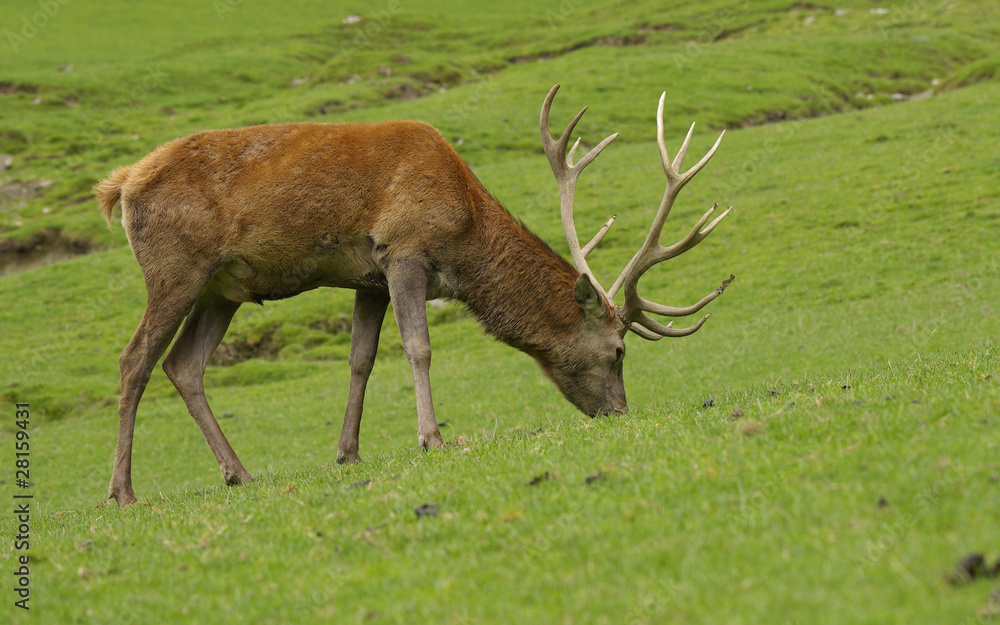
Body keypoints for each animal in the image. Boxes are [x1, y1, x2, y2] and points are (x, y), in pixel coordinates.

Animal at [94, 84, 734, 507]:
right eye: (618, 351)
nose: (620, 412)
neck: (466, 227)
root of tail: (119, 187)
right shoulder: (404, 249)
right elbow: (417, 349)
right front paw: (433, 438)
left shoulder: (368, 278)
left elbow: (361, 360)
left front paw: (348, 453)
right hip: (176, 269)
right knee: (134, 361)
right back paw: (123, 492)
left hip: (221, 288)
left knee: (184, 365)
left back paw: (239, 474)